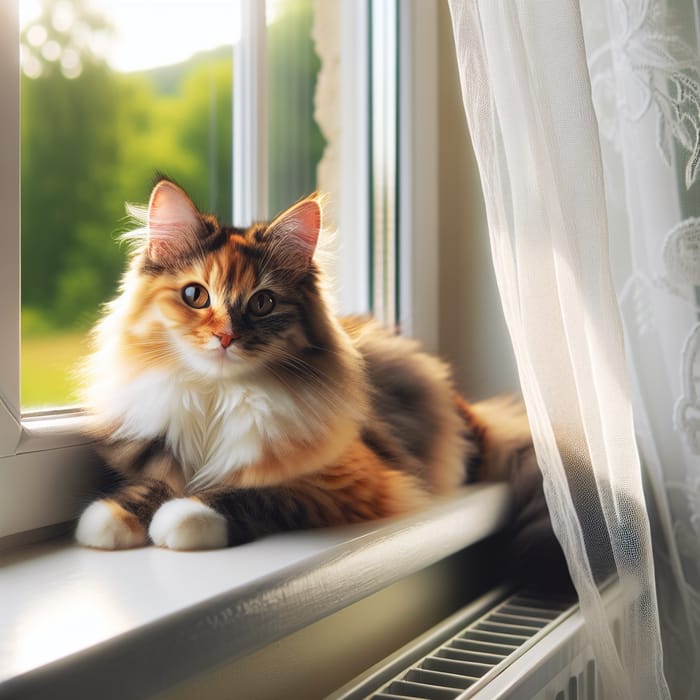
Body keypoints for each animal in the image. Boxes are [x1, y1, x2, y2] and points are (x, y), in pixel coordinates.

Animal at [75, 175, 564, 584]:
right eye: (196, 295)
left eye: (262, 303)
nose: (226, 336)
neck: (218, 397)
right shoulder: (167, 453)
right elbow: (156, 483)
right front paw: (110, 518)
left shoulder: (346, 478)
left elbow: (252, 490)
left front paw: (183, 518)